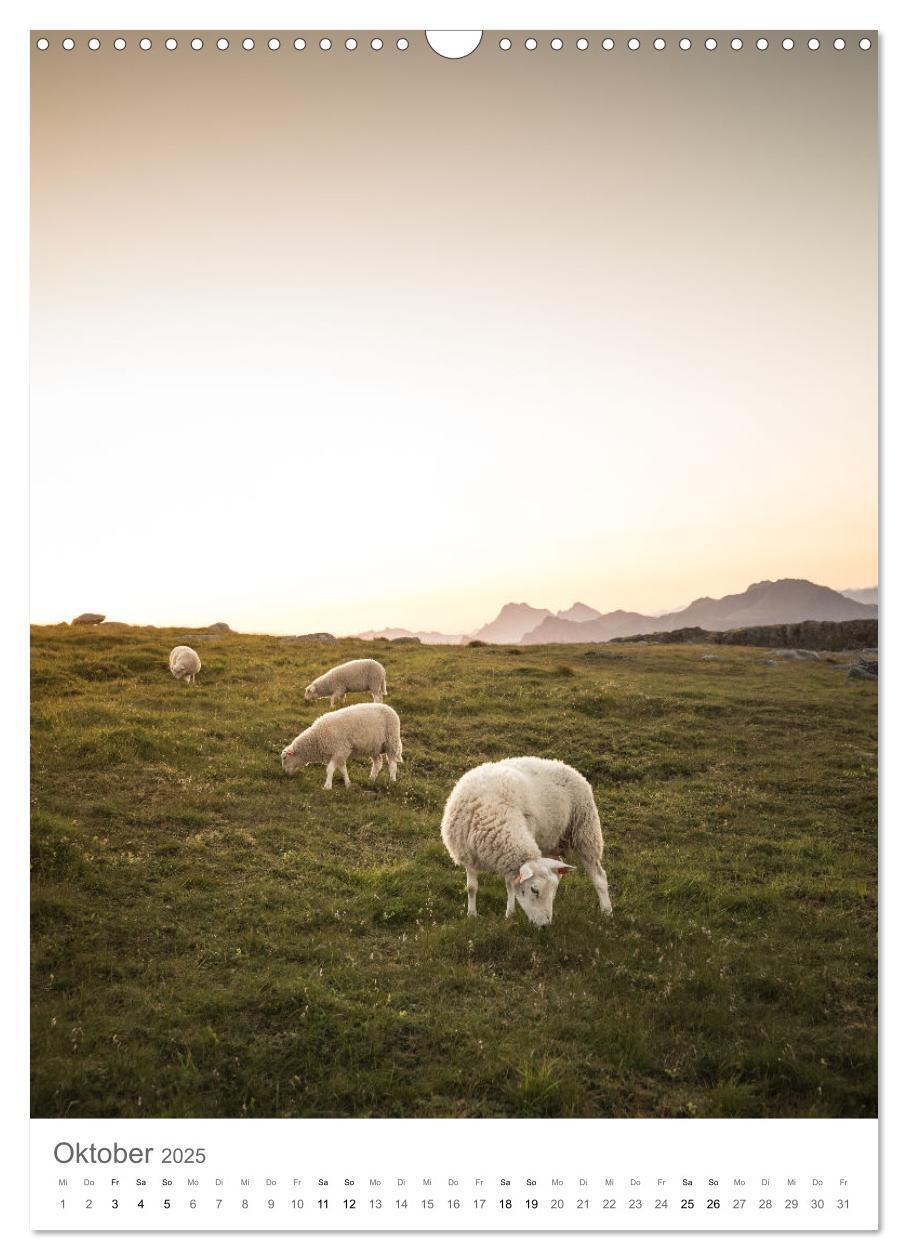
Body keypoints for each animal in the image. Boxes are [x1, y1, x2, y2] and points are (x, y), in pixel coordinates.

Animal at [438, 756, 609, 927]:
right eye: (534, 890)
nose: (545, 926)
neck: (491, 813)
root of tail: (566, 766)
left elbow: (510, 885)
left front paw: (509, 914)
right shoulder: (468, 854)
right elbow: (471, 887)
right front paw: (472, 914)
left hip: (585, 830)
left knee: (599, 875)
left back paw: (607, 911)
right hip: (550, 841)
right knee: (559, 866)